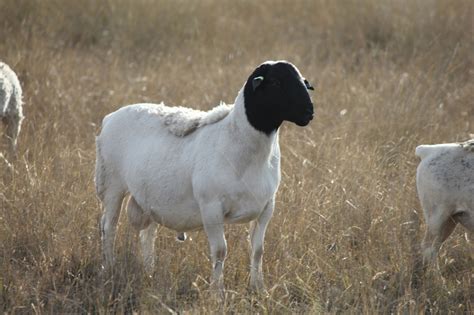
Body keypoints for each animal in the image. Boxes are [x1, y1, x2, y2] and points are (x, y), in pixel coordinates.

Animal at [96, 61, 314, 294]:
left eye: (303, 82)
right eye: (275, 82)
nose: (309, 112)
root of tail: (110, 117)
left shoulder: (267, 207)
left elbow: (258, 250)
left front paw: (259, 289)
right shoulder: (211, 207)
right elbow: (220, 251)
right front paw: (217, 293)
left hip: (151, 199)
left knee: (147, 235)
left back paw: (149, 271)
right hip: (112, 186)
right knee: (108, 228)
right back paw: (109, 267)